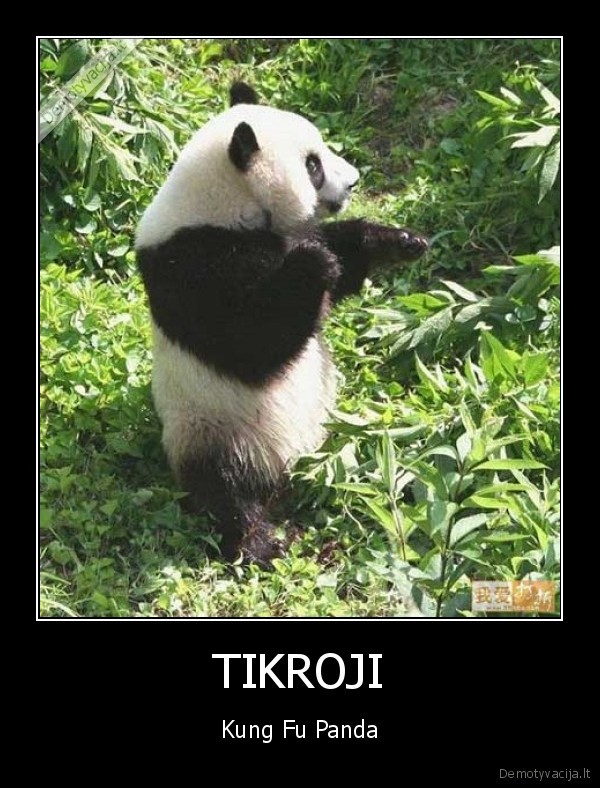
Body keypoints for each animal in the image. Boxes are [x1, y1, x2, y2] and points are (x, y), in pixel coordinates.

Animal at [136, 82, 428, 564]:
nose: (353, 181)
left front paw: (398, 241)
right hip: (211, 428)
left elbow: (341, 258)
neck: (225, 204)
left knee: (366, 461)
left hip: (332, 438)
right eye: (312, 165)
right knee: (225, 492)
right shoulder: (190, 266)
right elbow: (247, 345)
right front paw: (312, 266)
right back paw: (262, 543)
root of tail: (286, 472)